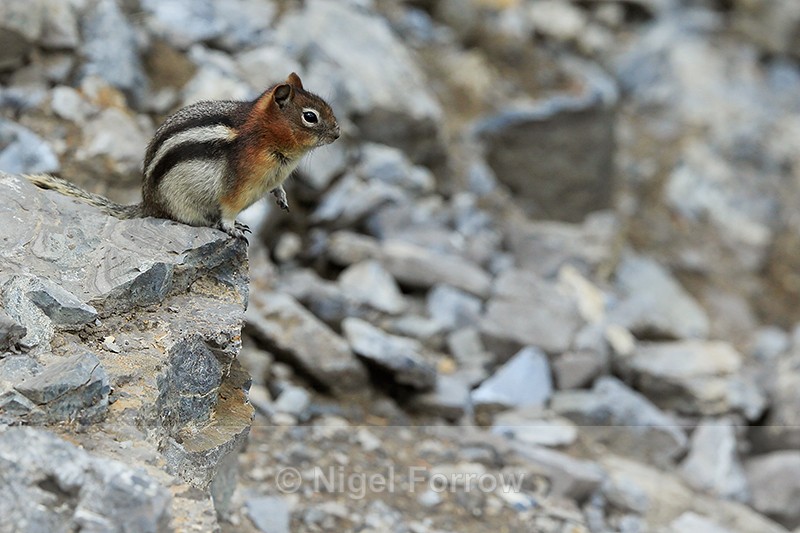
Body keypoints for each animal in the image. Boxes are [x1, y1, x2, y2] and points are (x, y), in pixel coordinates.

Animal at [25, 72, 340, 239]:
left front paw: (282, 196)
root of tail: (149, 204)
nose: (338, 133)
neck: (265, 135)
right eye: (310, 117)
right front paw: (233, 228)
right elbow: (229, 208)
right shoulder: (238, 185)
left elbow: (277, 186)